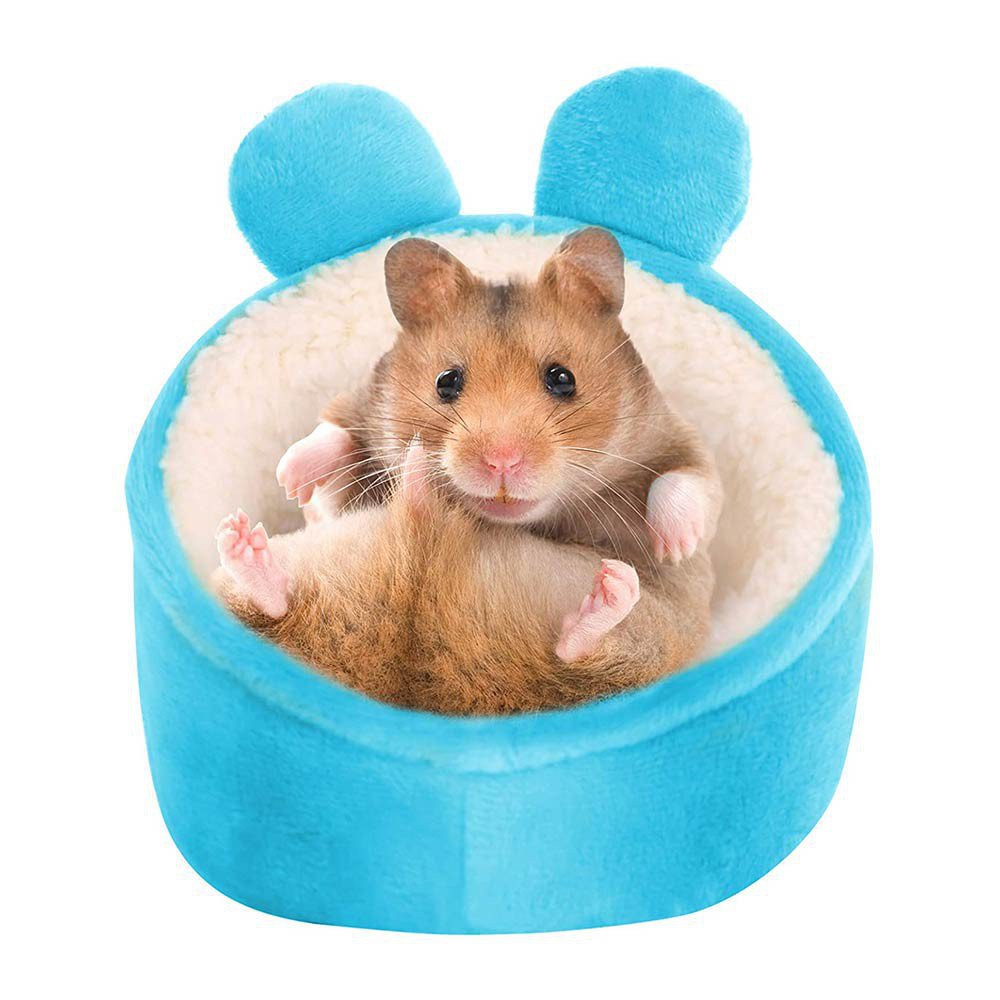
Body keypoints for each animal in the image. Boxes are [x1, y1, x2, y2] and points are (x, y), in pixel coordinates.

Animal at [276, 227, 722, 587]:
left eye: (563, 379)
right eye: (446, 382)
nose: (502, 462)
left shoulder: (674, 435)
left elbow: (687, 478)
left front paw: (674, 547)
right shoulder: (365, 416)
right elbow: (334, 439)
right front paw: (290, 482)